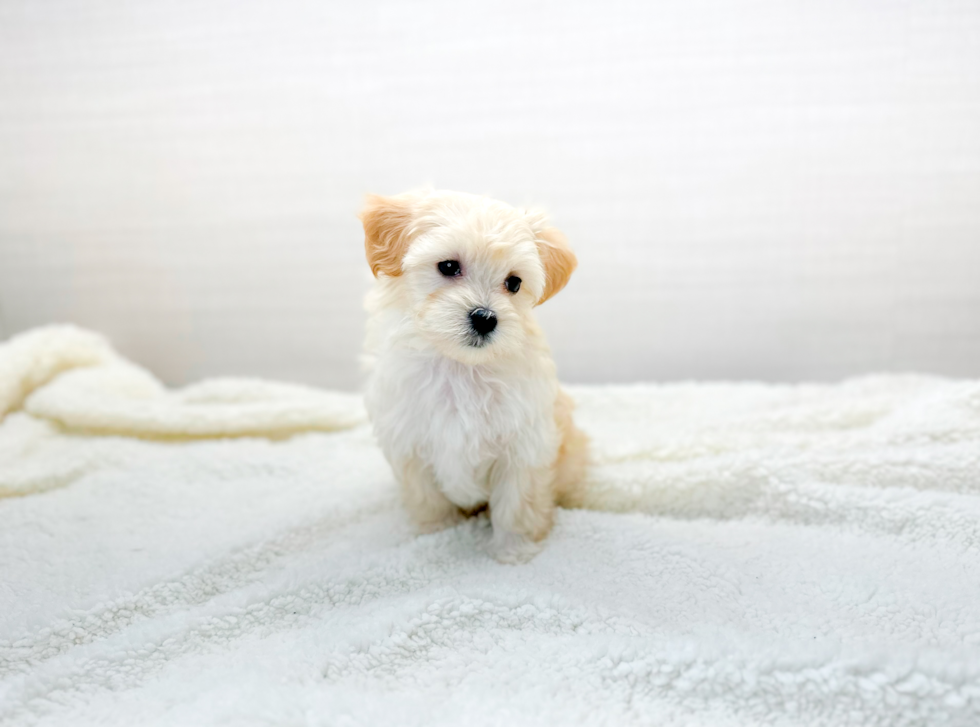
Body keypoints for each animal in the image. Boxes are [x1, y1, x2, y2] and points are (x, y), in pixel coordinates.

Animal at [360, 188, 588, 564]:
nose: (485, 317)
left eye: (514, 282)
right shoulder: (408, 442)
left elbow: (517, 504)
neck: (460, 367)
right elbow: (427, 498)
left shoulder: (524, 446)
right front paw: (435, 533)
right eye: (449, 266)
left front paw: (514, 551)